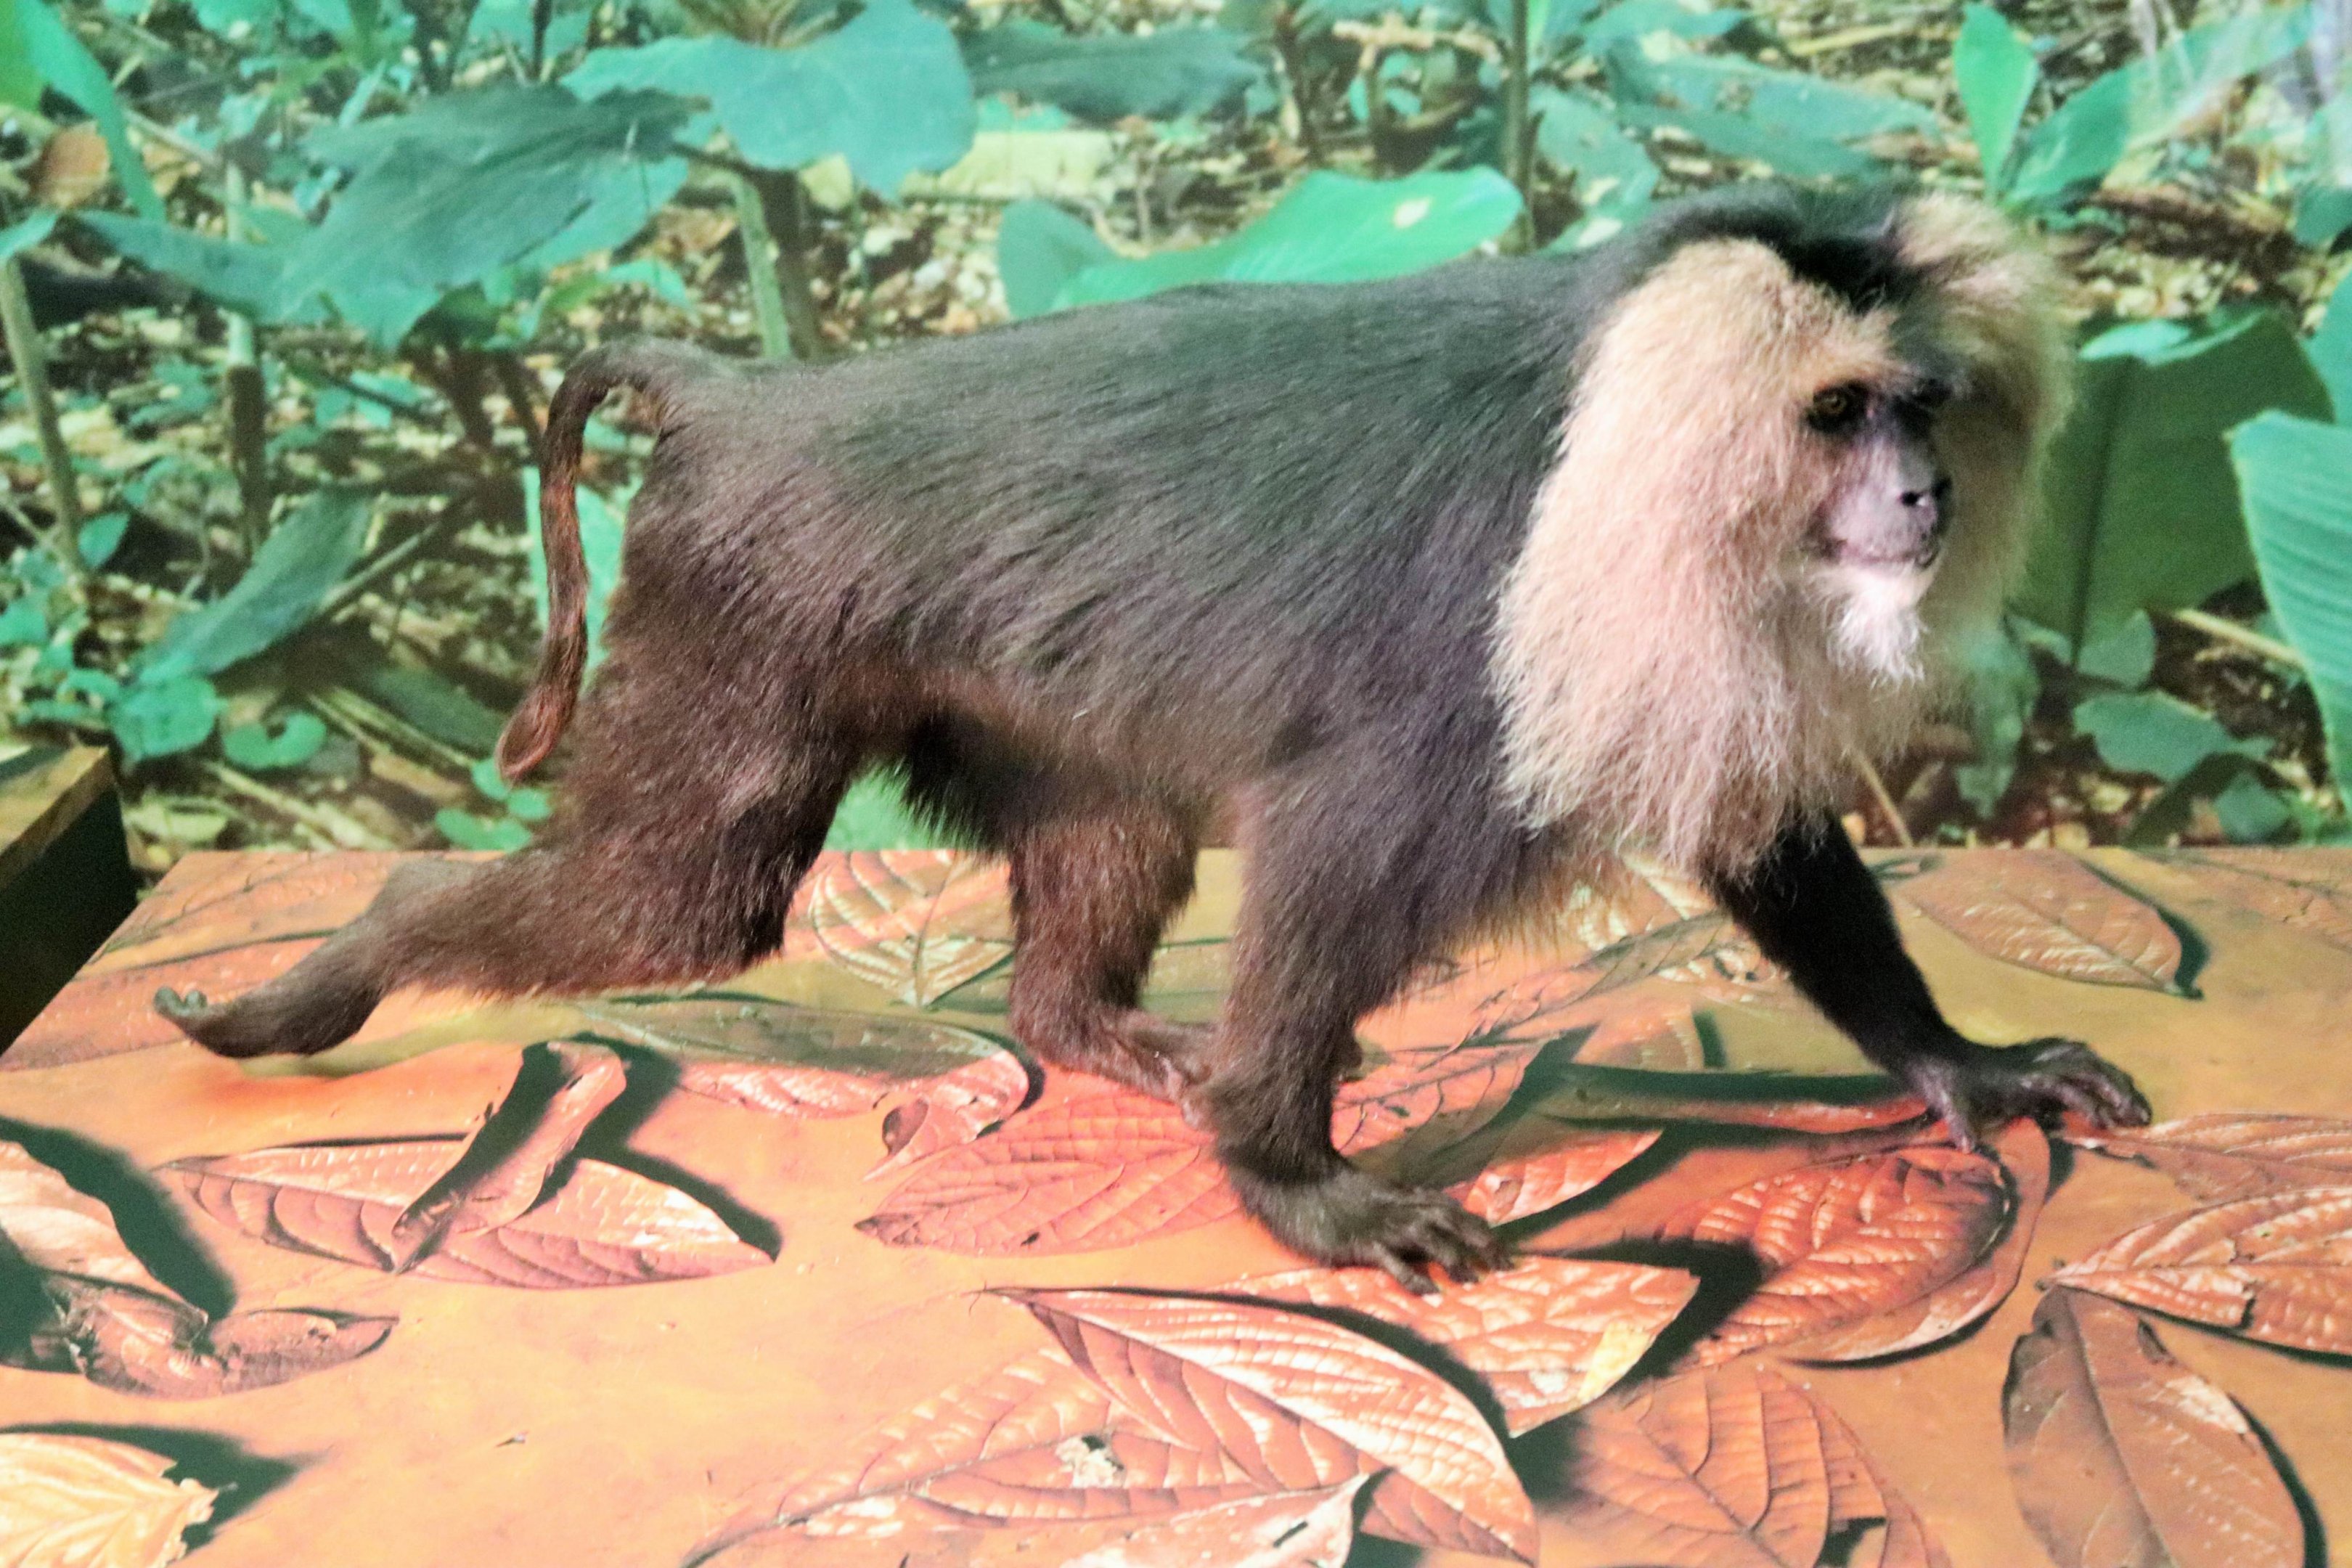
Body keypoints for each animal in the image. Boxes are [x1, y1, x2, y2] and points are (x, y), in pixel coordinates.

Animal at [155, 182, 2151, 1292]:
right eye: (1836, 414)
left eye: (1922, 404)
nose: (1915, 492)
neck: (1620, 406)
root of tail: (748, 406)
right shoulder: (1510, 600)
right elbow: (1344, 844)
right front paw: (1287, 1177)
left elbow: (1758, 833)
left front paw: (1960, 1067)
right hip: (741, 598)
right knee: (679, 902)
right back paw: (335, 968)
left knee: (1094, 846)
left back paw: (1090, 1030)